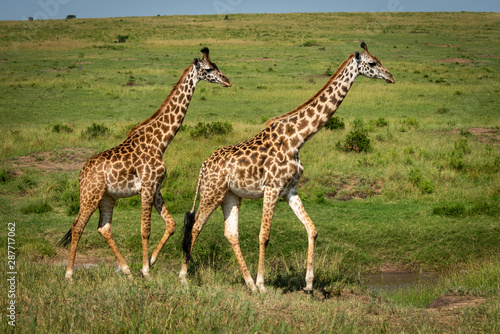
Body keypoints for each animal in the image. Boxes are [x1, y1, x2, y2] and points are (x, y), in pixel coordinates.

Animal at [58, 47, 232, 282]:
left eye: (216, 66)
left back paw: (127, 271)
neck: (160, 142)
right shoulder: (147, 187)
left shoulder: (155, 187)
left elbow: (171, 224)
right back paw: (69, 274)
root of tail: (80, 174)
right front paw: (147, 272)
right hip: (90, 195)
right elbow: (145, 229)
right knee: (77, 227)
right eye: (208, 69)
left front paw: (149, 262)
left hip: (107, 198)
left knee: (104, 228)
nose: (227, 81)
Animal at [179, 41, 394, 292]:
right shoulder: (272, 188)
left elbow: (312, 229)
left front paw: (308, 284)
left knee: (230, 233)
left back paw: (249, 284)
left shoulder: (290, 190)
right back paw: (184, 277)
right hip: (211, 192)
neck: (298, 138)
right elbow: (264, 235)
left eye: (379, 60)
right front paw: (263, 284)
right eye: (372, 63)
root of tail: (203, 165)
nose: (390, 77)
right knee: (195, 227)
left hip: (230, 195)